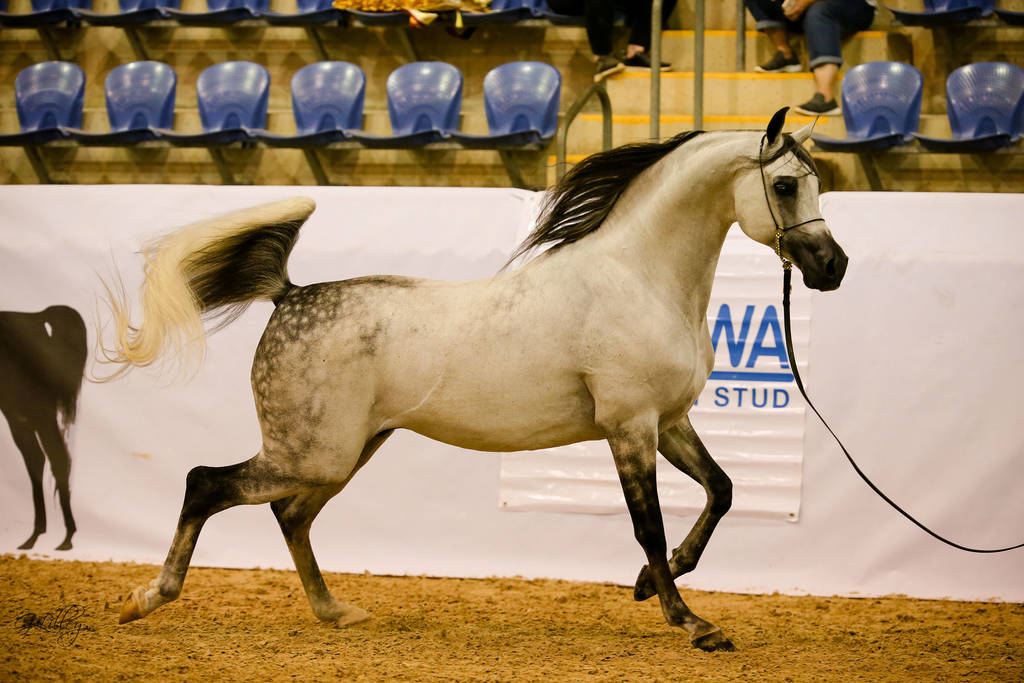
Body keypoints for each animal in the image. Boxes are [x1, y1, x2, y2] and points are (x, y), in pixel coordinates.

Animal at [0, 305, 87, 551]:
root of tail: (37, 317)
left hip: (35, 410)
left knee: (54, 458)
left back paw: (63, 537)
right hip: (18, 413)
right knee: (38, 458)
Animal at [103, 107, 847, 652]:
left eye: (815, 182)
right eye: (786, 185)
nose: (832, 266)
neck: (638, 278)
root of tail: (290, 294)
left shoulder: (669, 421)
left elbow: (721, 491)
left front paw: (645, 587)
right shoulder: (629, 425)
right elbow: (650, 527)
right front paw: (692, 622)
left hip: (344, 451)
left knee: (290, 515)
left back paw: (336, 612)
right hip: (313, 451)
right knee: (208, 483)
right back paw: (147, 599)